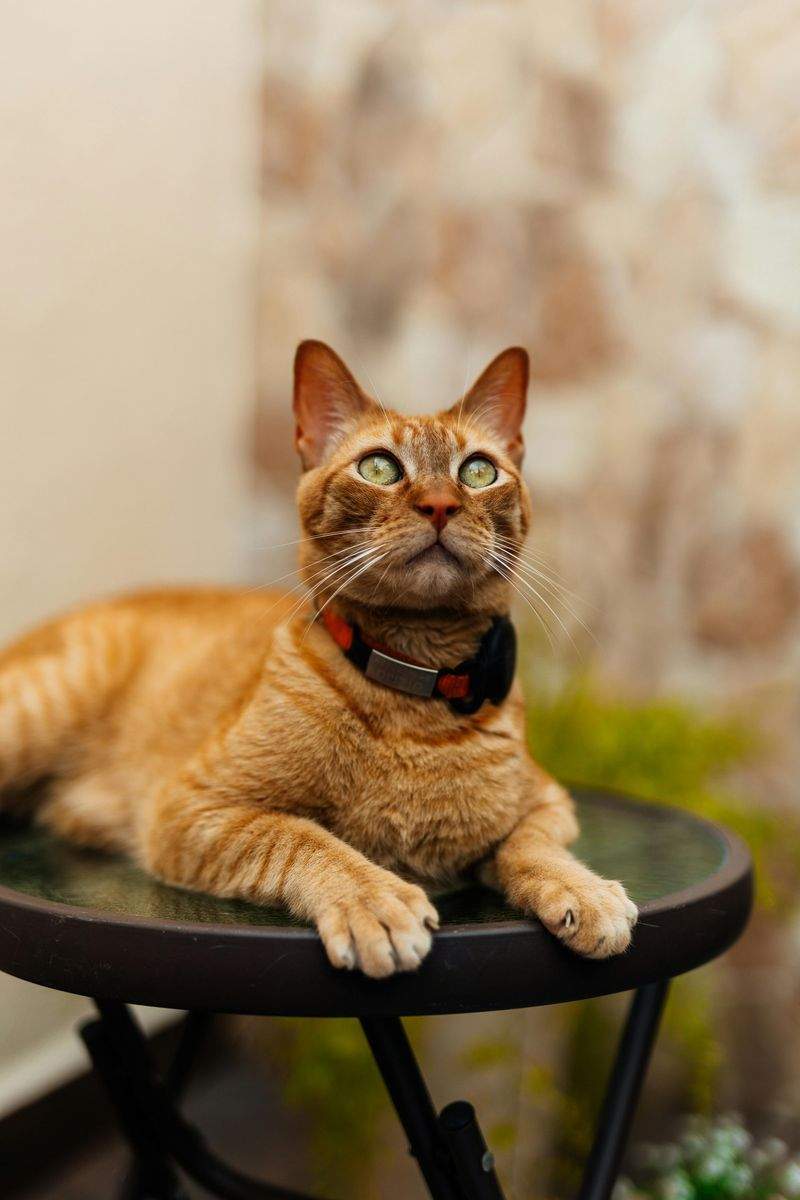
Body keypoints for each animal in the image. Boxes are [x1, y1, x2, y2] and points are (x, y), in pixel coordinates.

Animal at [0, 341, 636, 977]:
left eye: (478, 471)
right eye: (379, 467)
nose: (439, 505)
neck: (415, 687)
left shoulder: (551, 802)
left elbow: (531, 844)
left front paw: (582, 890)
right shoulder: (193, 808)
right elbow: (303, 839)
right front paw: (374, 899)